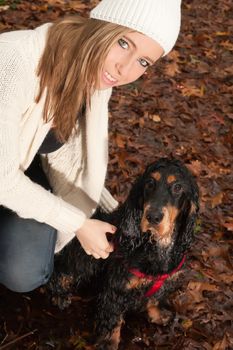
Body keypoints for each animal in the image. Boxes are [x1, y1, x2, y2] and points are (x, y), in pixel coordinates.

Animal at [49, 159, 198, 350]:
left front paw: (158, 315)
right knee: (60, 272)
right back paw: (59, 294)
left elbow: (154, 299)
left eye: (178, 187)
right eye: (149, 183)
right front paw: (108, 342)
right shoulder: (117, 286)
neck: (157, 245)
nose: (153, 217)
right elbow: (113, 318)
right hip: (85, 258)